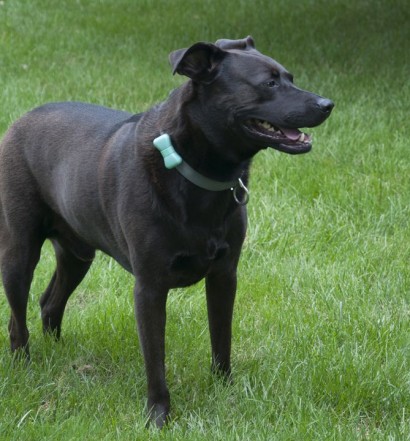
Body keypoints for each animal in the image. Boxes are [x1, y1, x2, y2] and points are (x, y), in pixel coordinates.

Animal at [0, 36, 333, 427]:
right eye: (268, 83)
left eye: (290, 77)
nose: (327, 105)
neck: (193, 171)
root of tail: (20, 120)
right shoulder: (149, 287)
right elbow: (155, 358)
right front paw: (158, 415)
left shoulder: (224, 275)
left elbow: (222, 339)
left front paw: (224, 391)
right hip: (19, 252)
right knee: (17, 319)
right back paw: (25, 366)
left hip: (78, 254)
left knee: (50, 303)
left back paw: (61, 355)